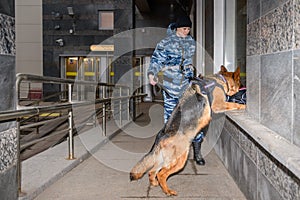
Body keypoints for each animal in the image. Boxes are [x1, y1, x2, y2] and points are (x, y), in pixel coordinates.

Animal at [130, 65, 245, 195]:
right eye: (239, 81)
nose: (243, 87)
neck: (221, 80)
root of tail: (162, 135)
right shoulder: (218, 105)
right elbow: (233, 104)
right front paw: (244, 105)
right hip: (180, 159)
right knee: (161, 174)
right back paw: (168, 191)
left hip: (164, 159)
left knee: (152, 171)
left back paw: (155, 183)